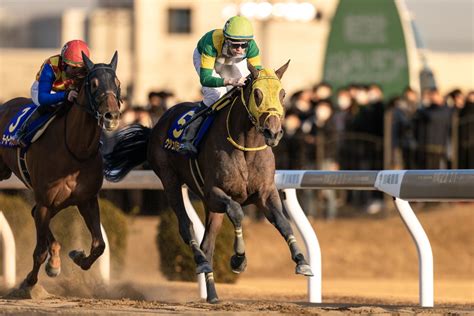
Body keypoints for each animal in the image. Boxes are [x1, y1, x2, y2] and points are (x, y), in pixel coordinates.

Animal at [0, 52, 121, 292]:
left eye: (118, 84)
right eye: (94, 84)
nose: (111, 116)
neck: (75, 149)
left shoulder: (86, 200)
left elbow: (99, 244)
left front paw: (76, 256)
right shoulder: (46, 201)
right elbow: (39, 251)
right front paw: (28, 282)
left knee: (35, 215)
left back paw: (55, 260)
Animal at [104, 62, 312, 304]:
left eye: (282, 93)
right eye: (257, 93)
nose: (274, 132)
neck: (246, 146)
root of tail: (156, 126)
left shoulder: (264, 193)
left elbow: (283, 222)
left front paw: (302, 261)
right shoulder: (214, 192)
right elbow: (237, 212)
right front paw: (238, 258)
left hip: (210, 206)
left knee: (208, 244)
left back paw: (212, 294)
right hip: (170, 180)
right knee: (186, 227)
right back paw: (202, 262)